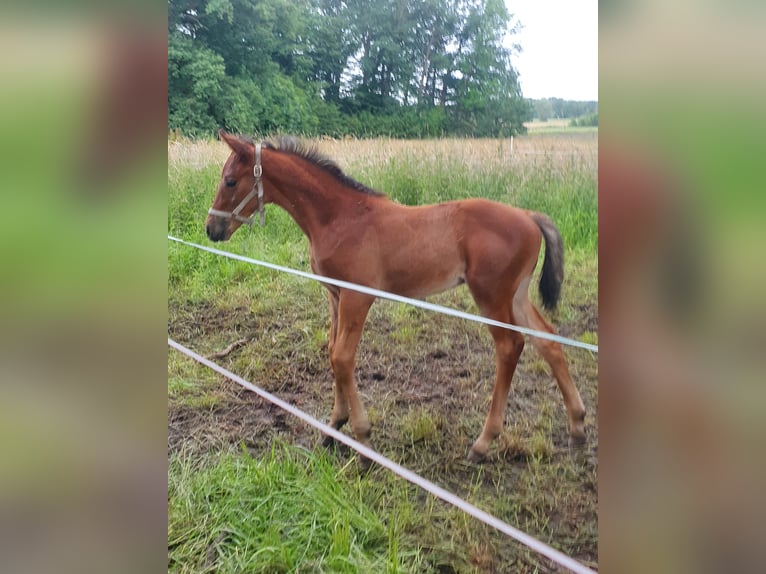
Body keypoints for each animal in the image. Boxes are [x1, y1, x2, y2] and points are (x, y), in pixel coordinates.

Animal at [206, 132, 588, 464]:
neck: (339, 218)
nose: (212, 229)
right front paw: (333, 427)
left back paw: (483, 443)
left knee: (510, 346)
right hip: (516, 294)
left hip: (491, 295)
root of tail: (528, 216)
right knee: (548, 340)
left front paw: (362, 441)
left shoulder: (358, 297)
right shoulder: (335, 295)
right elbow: (331, 352)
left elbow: (343, 357)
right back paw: (578, 425)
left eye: (230, 181)